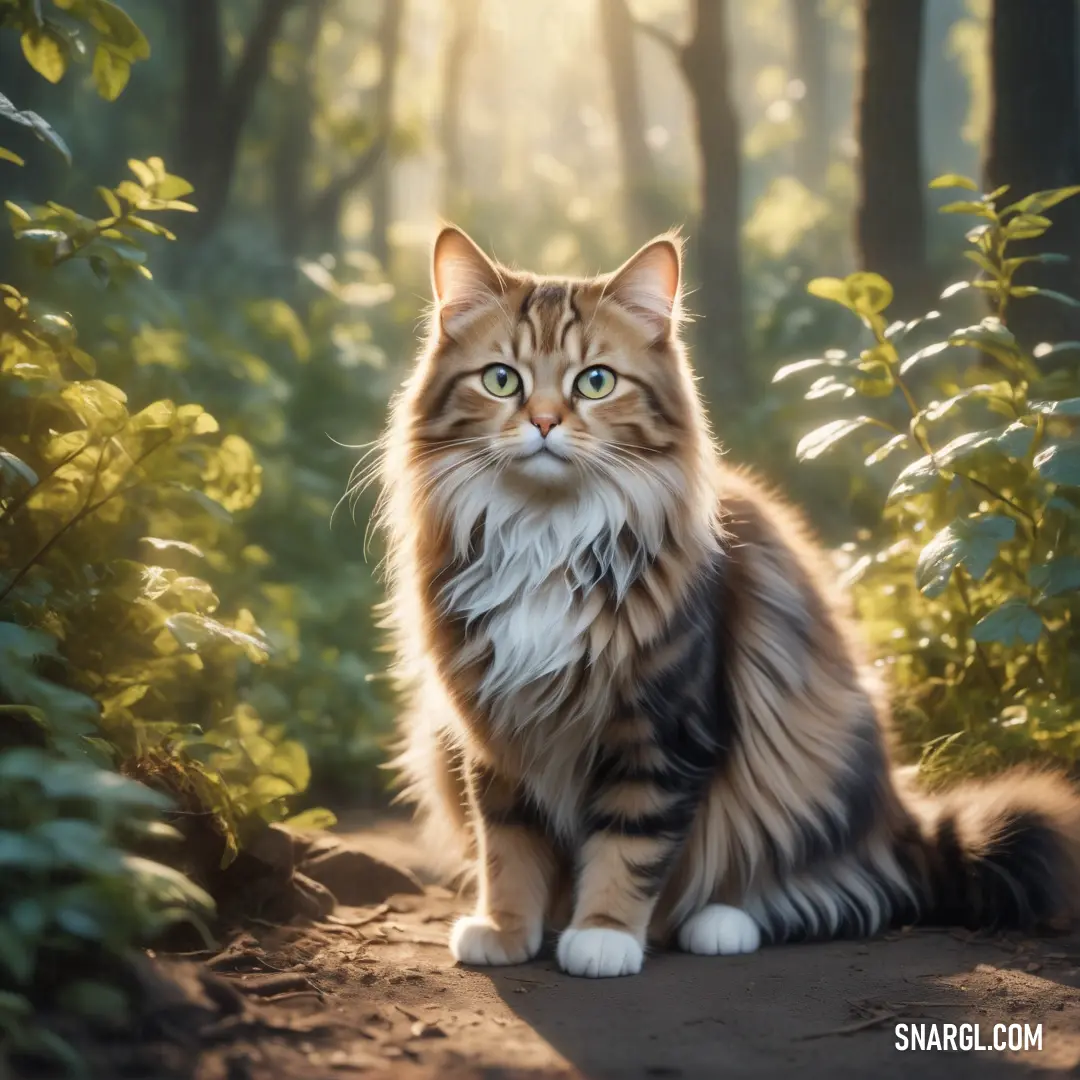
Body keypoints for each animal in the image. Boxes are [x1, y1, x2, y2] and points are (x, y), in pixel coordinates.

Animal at [373, 227, 1080, 980]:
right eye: (502, 378)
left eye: (595, 381)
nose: (541, 422)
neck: (546, 535)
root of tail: (901, 817)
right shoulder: (494, 731)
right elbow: (507, 848)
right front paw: (506, 930)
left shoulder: (664, 726)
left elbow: (630, 845)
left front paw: (603, 934)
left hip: (821, 761)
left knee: (857, 890)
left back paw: (718, 921)